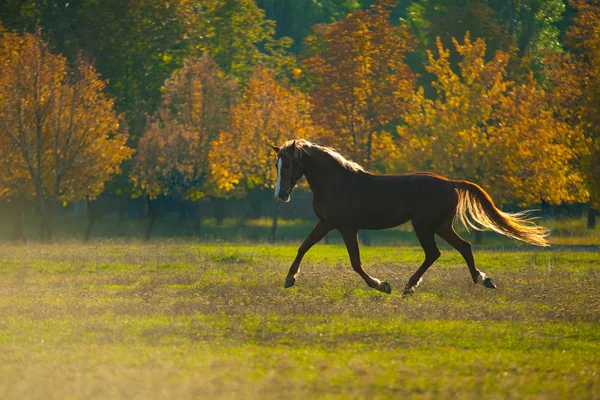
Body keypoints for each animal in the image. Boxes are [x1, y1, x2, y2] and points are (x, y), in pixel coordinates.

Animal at [270, 139, 548, 296]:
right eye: (277, 165)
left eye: (289, 164)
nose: (280, 195)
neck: (338, 183)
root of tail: (451, 183)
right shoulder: (327, 224)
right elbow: (303, 247)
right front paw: (289, 278)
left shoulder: (348, 228)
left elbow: (356, 263)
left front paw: (382, 285)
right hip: (440, 226)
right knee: (464, 246)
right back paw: (483, 279)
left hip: (423, 226)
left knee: (434, 253)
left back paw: (408, 286)